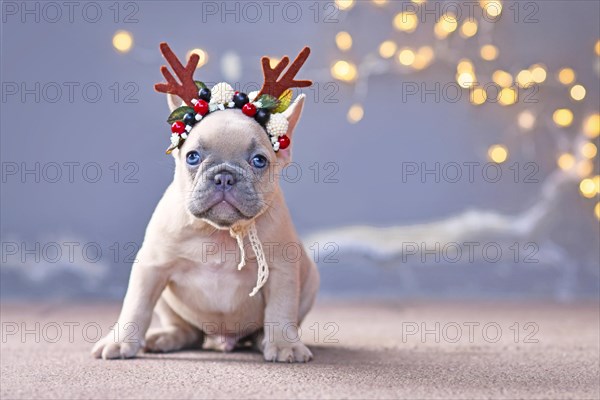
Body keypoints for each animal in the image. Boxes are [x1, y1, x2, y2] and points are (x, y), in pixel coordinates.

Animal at [90, 94, 318, 362]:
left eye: (259, 161)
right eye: (192, 157)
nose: (224, 176)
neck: (218, 231)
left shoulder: (280, 271)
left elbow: (280, 309)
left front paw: (284, 344)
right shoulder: (151, 267)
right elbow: (136, 306)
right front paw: (120, 341)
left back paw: (262, 339)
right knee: (188, 332)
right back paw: (166, 337)